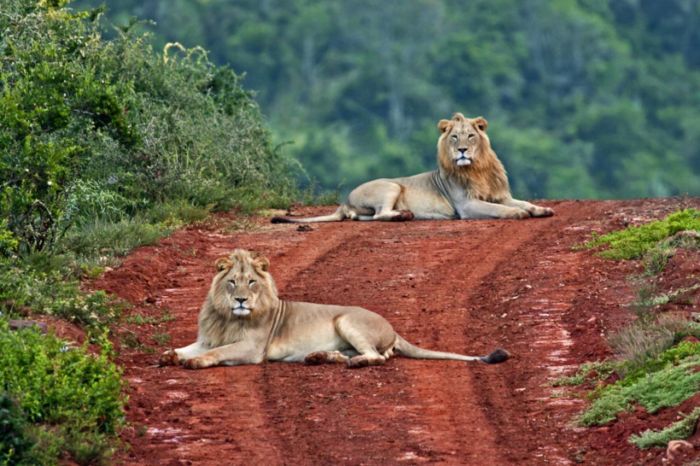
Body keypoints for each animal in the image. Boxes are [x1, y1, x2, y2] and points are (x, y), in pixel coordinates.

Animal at [159, 249, 508, 370]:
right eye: (232, 282)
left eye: (251, 283)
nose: (241, 300)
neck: (227, 317)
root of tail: (394, 329)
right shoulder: (207, 338)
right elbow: (187, 347)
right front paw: (169, 356)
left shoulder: (252, 348)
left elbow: (217, 353)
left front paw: (194, 362)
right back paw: (319, 357)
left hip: (347, 320)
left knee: (377, 357)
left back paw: (351, 363)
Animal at [272, 112, 552, 223]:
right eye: (454, 137)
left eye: (470, 136)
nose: (462, 150)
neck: (477, 169)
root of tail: (344, 201)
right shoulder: (466, 205)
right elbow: (497, 209)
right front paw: (516, 214)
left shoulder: (501, 195)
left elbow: (522, 203)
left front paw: (541, 209)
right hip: (391, 186)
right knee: (380, 214)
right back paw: (404, 215)